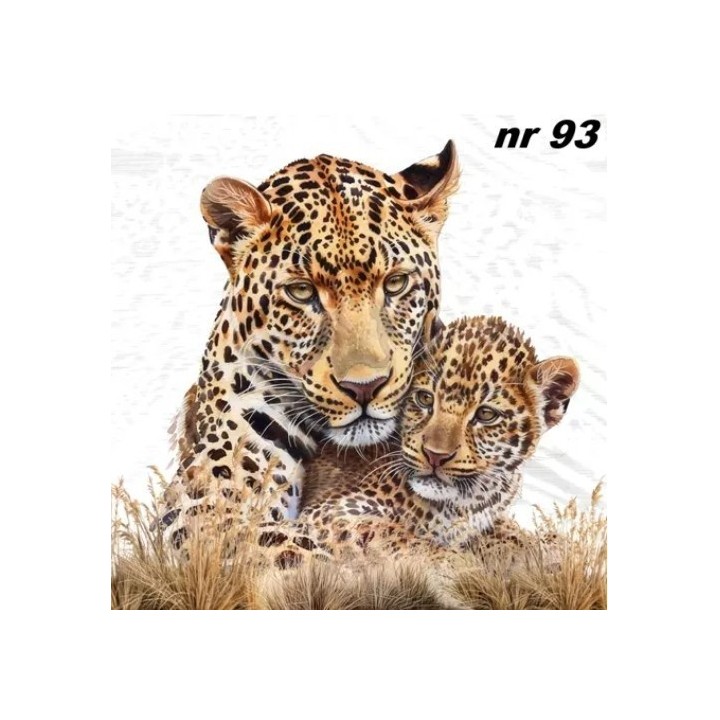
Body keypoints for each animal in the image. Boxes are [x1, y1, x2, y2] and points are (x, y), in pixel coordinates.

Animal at [241, 315, 580, 570]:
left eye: (486, 415)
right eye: (425, 399)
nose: (435, 455)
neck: (466, 502)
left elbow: (509, 535)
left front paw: (547, 548)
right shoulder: (329, 512)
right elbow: (391, 533)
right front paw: (458, 566)